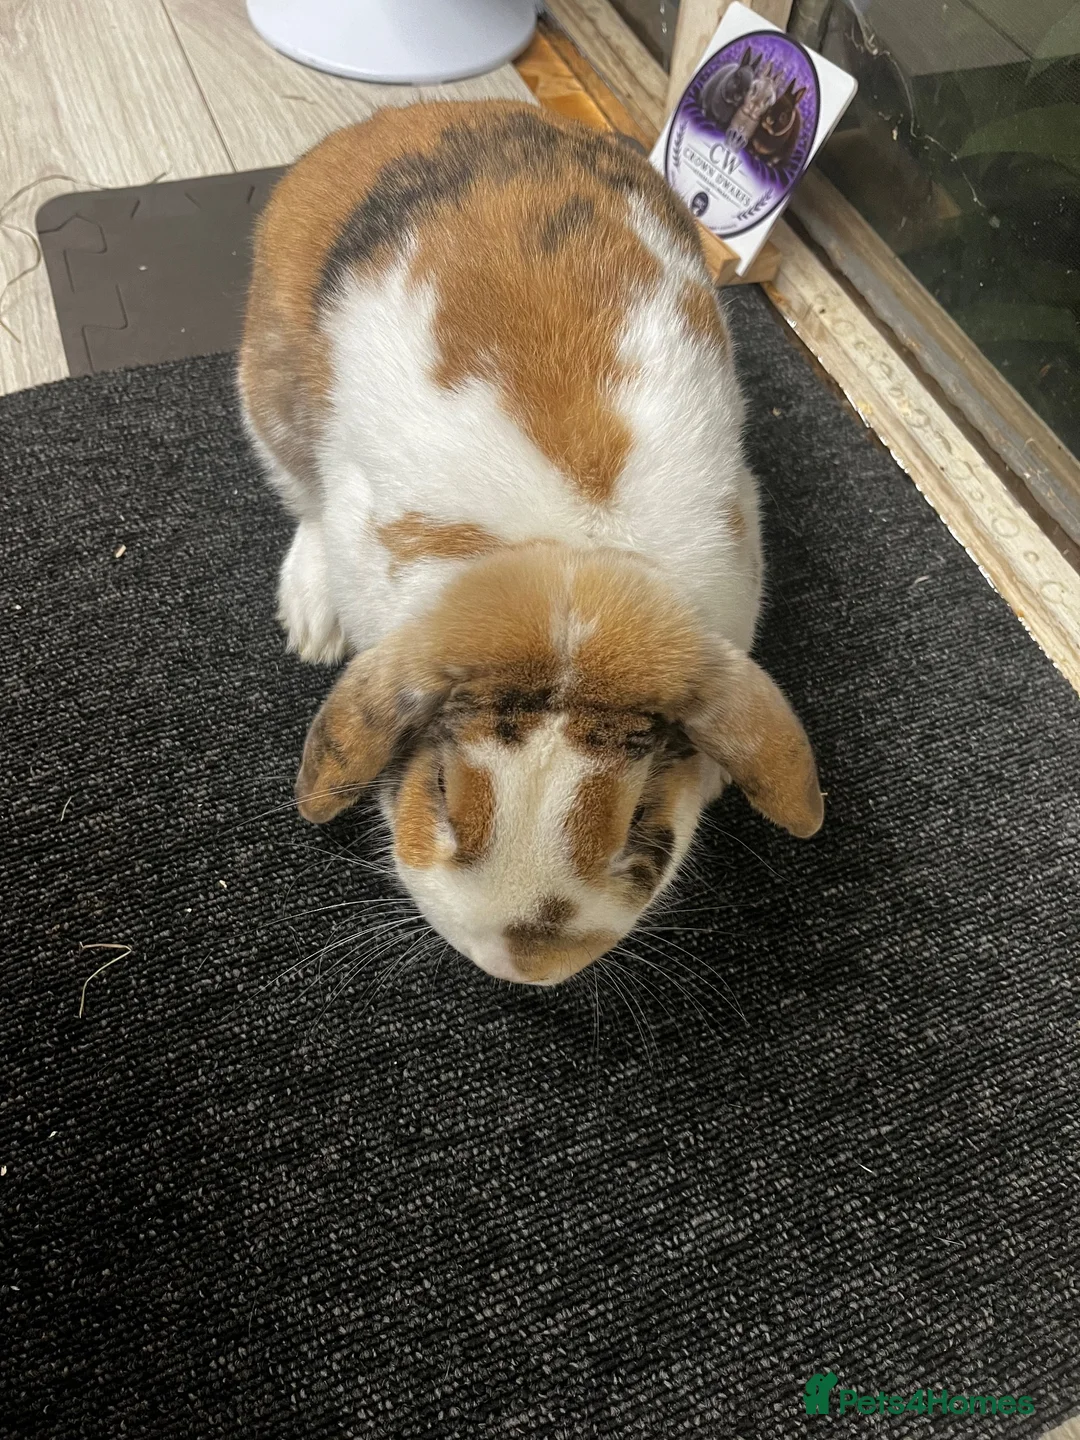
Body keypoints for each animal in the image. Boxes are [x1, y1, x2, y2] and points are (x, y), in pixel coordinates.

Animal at [239, 101, 823, 986]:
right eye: (444, 791)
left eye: (637, 815)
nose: (522, 966)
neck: (568, 567)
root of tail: (421, 112)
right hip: (267, 395)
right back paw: (312, 623)